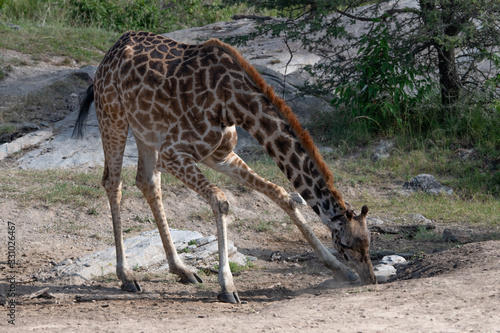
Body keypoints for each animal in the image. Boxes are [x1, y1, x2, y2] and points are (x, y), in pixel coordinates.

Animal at [74, 31, 376, 304]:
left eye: (368, 241)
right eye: (346, 244)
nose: (369, 278)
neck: (235, 103)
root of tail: (109, 54)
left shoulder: (219, 155)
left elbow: (281, 194)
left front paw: (340, 270)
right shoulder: (174, 153)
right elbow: (221, 201)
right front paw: (227, 286)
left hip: (146, 130)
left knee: (147, 181)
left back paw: (182, 269)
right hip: (113, 115)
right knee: (113, 182)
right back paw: (127, 276)